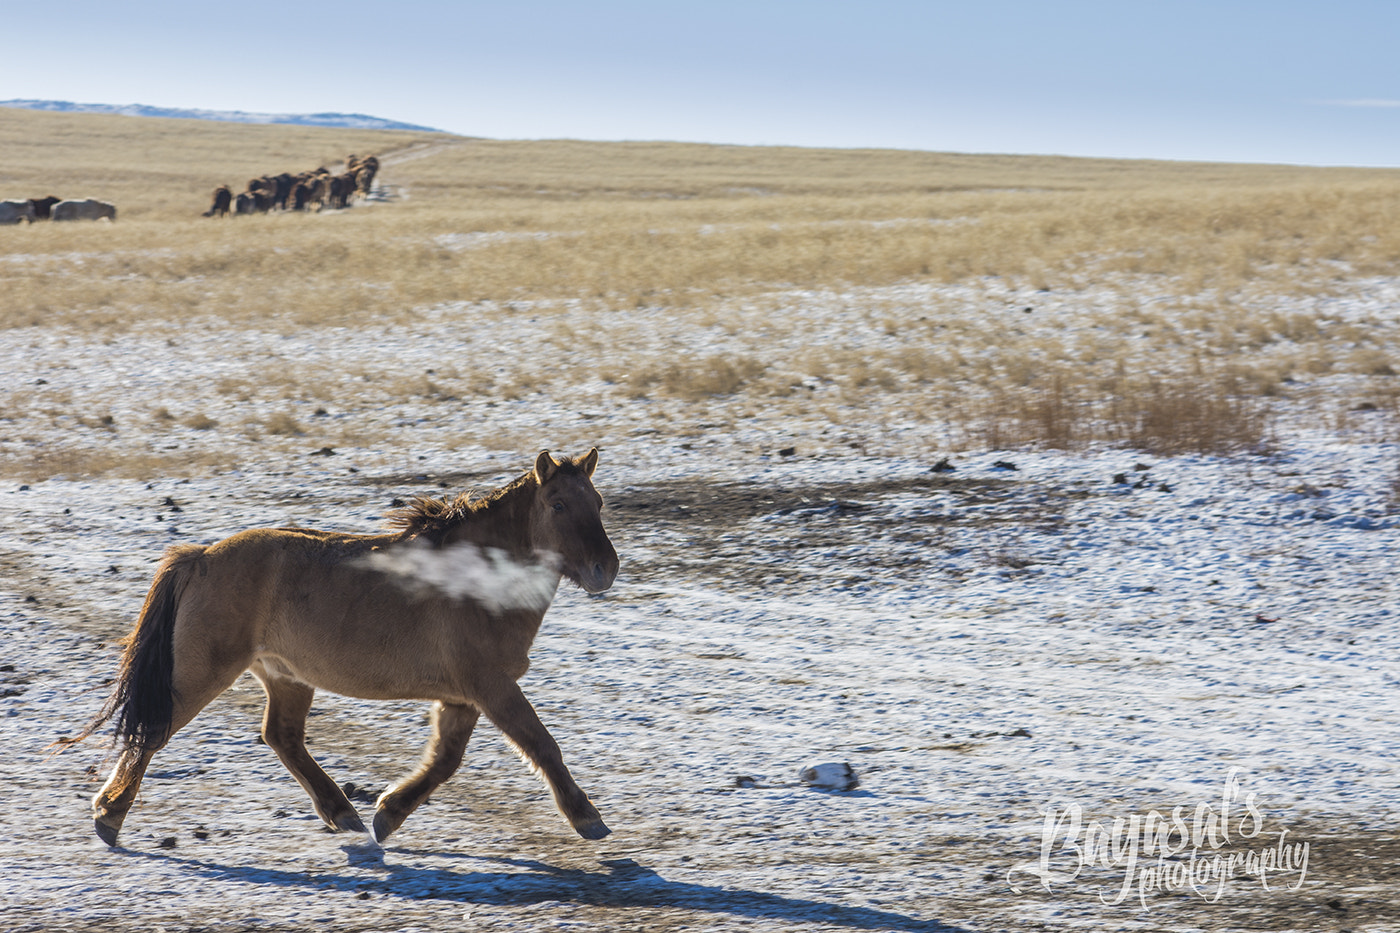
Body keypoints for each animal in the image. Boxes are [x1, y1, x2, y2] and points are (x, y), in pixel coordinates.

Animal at [62, 449, 620, 848]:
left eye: (597, 503)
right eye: (558, 505)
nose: (605, 570)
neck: (478, 580)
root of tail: (200, 557)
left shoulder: (462, 697)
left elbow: (445, 760)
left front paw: (388, 814)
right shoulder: (491, 686)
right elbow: (542, 745)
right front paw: (588, 818)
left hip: (285, 675)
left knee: (282, 737)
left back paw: (343, 814)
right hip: (204, 672)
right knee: (156, 730)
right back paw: (109, 815)